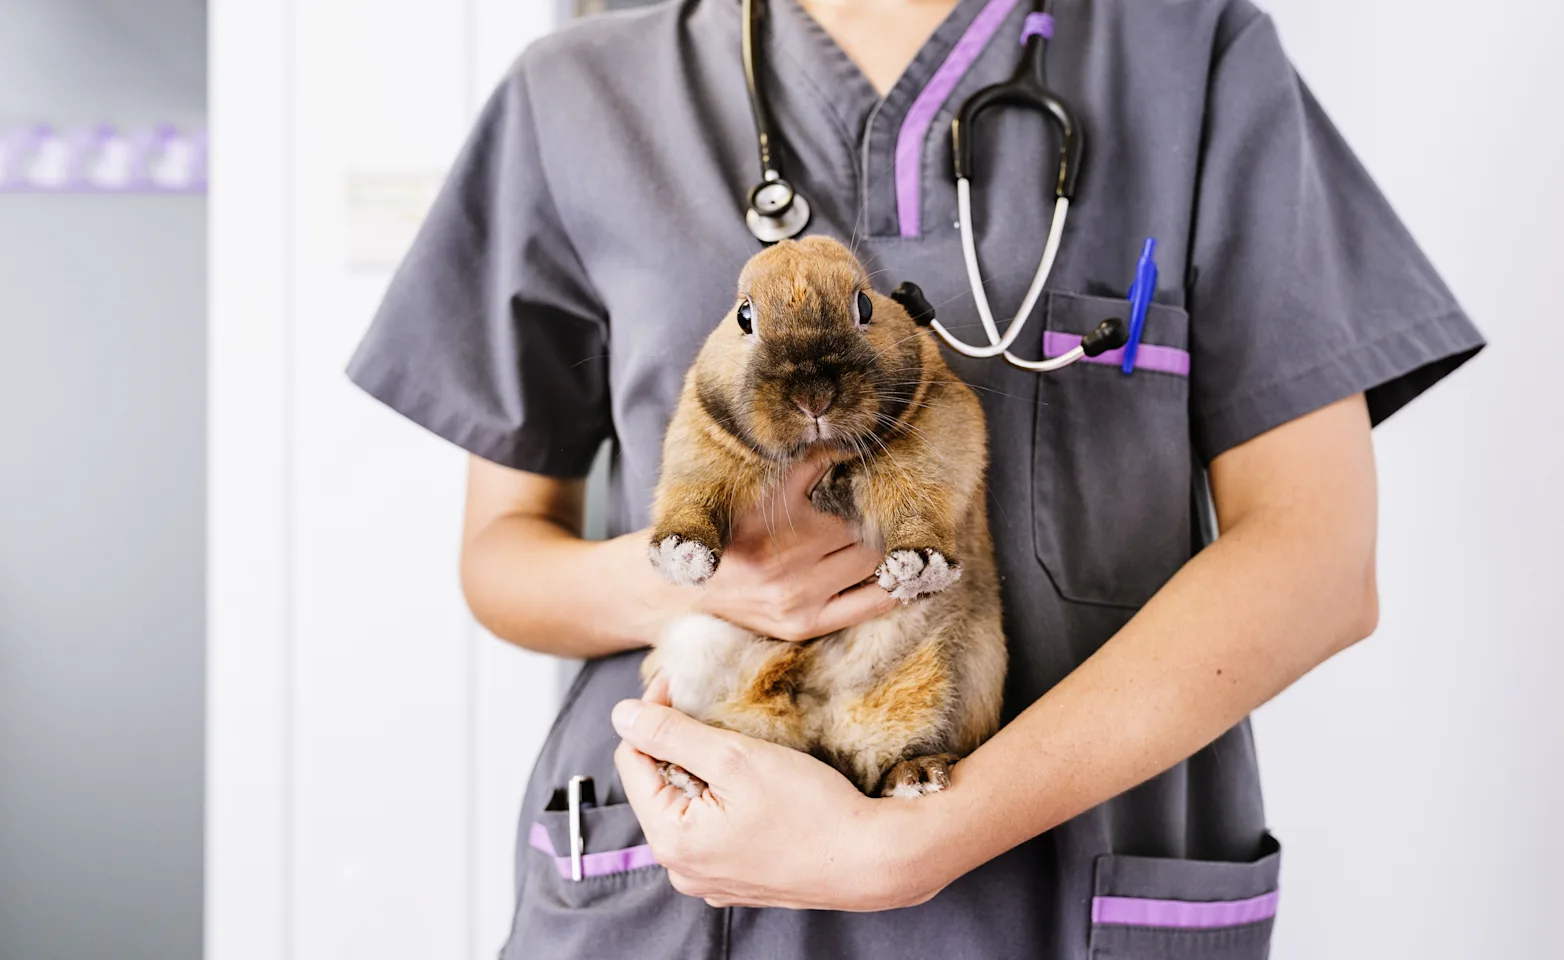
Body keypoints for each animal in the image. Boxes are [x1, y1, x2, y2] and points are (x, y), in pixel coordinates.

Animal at [641, 237, 1007, 800]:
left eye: (865, 306)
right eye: (745, 316)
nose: (812, 396)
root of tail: (822, 724)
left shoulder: (939, 429)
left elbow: (919, 500)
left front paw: (917, 568)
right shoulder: (698, 443)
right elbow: (691, 495)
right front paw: (682, 556)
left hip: (968, 671)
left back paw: (916, 776)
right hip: (698, 648)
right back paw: (688, 774)